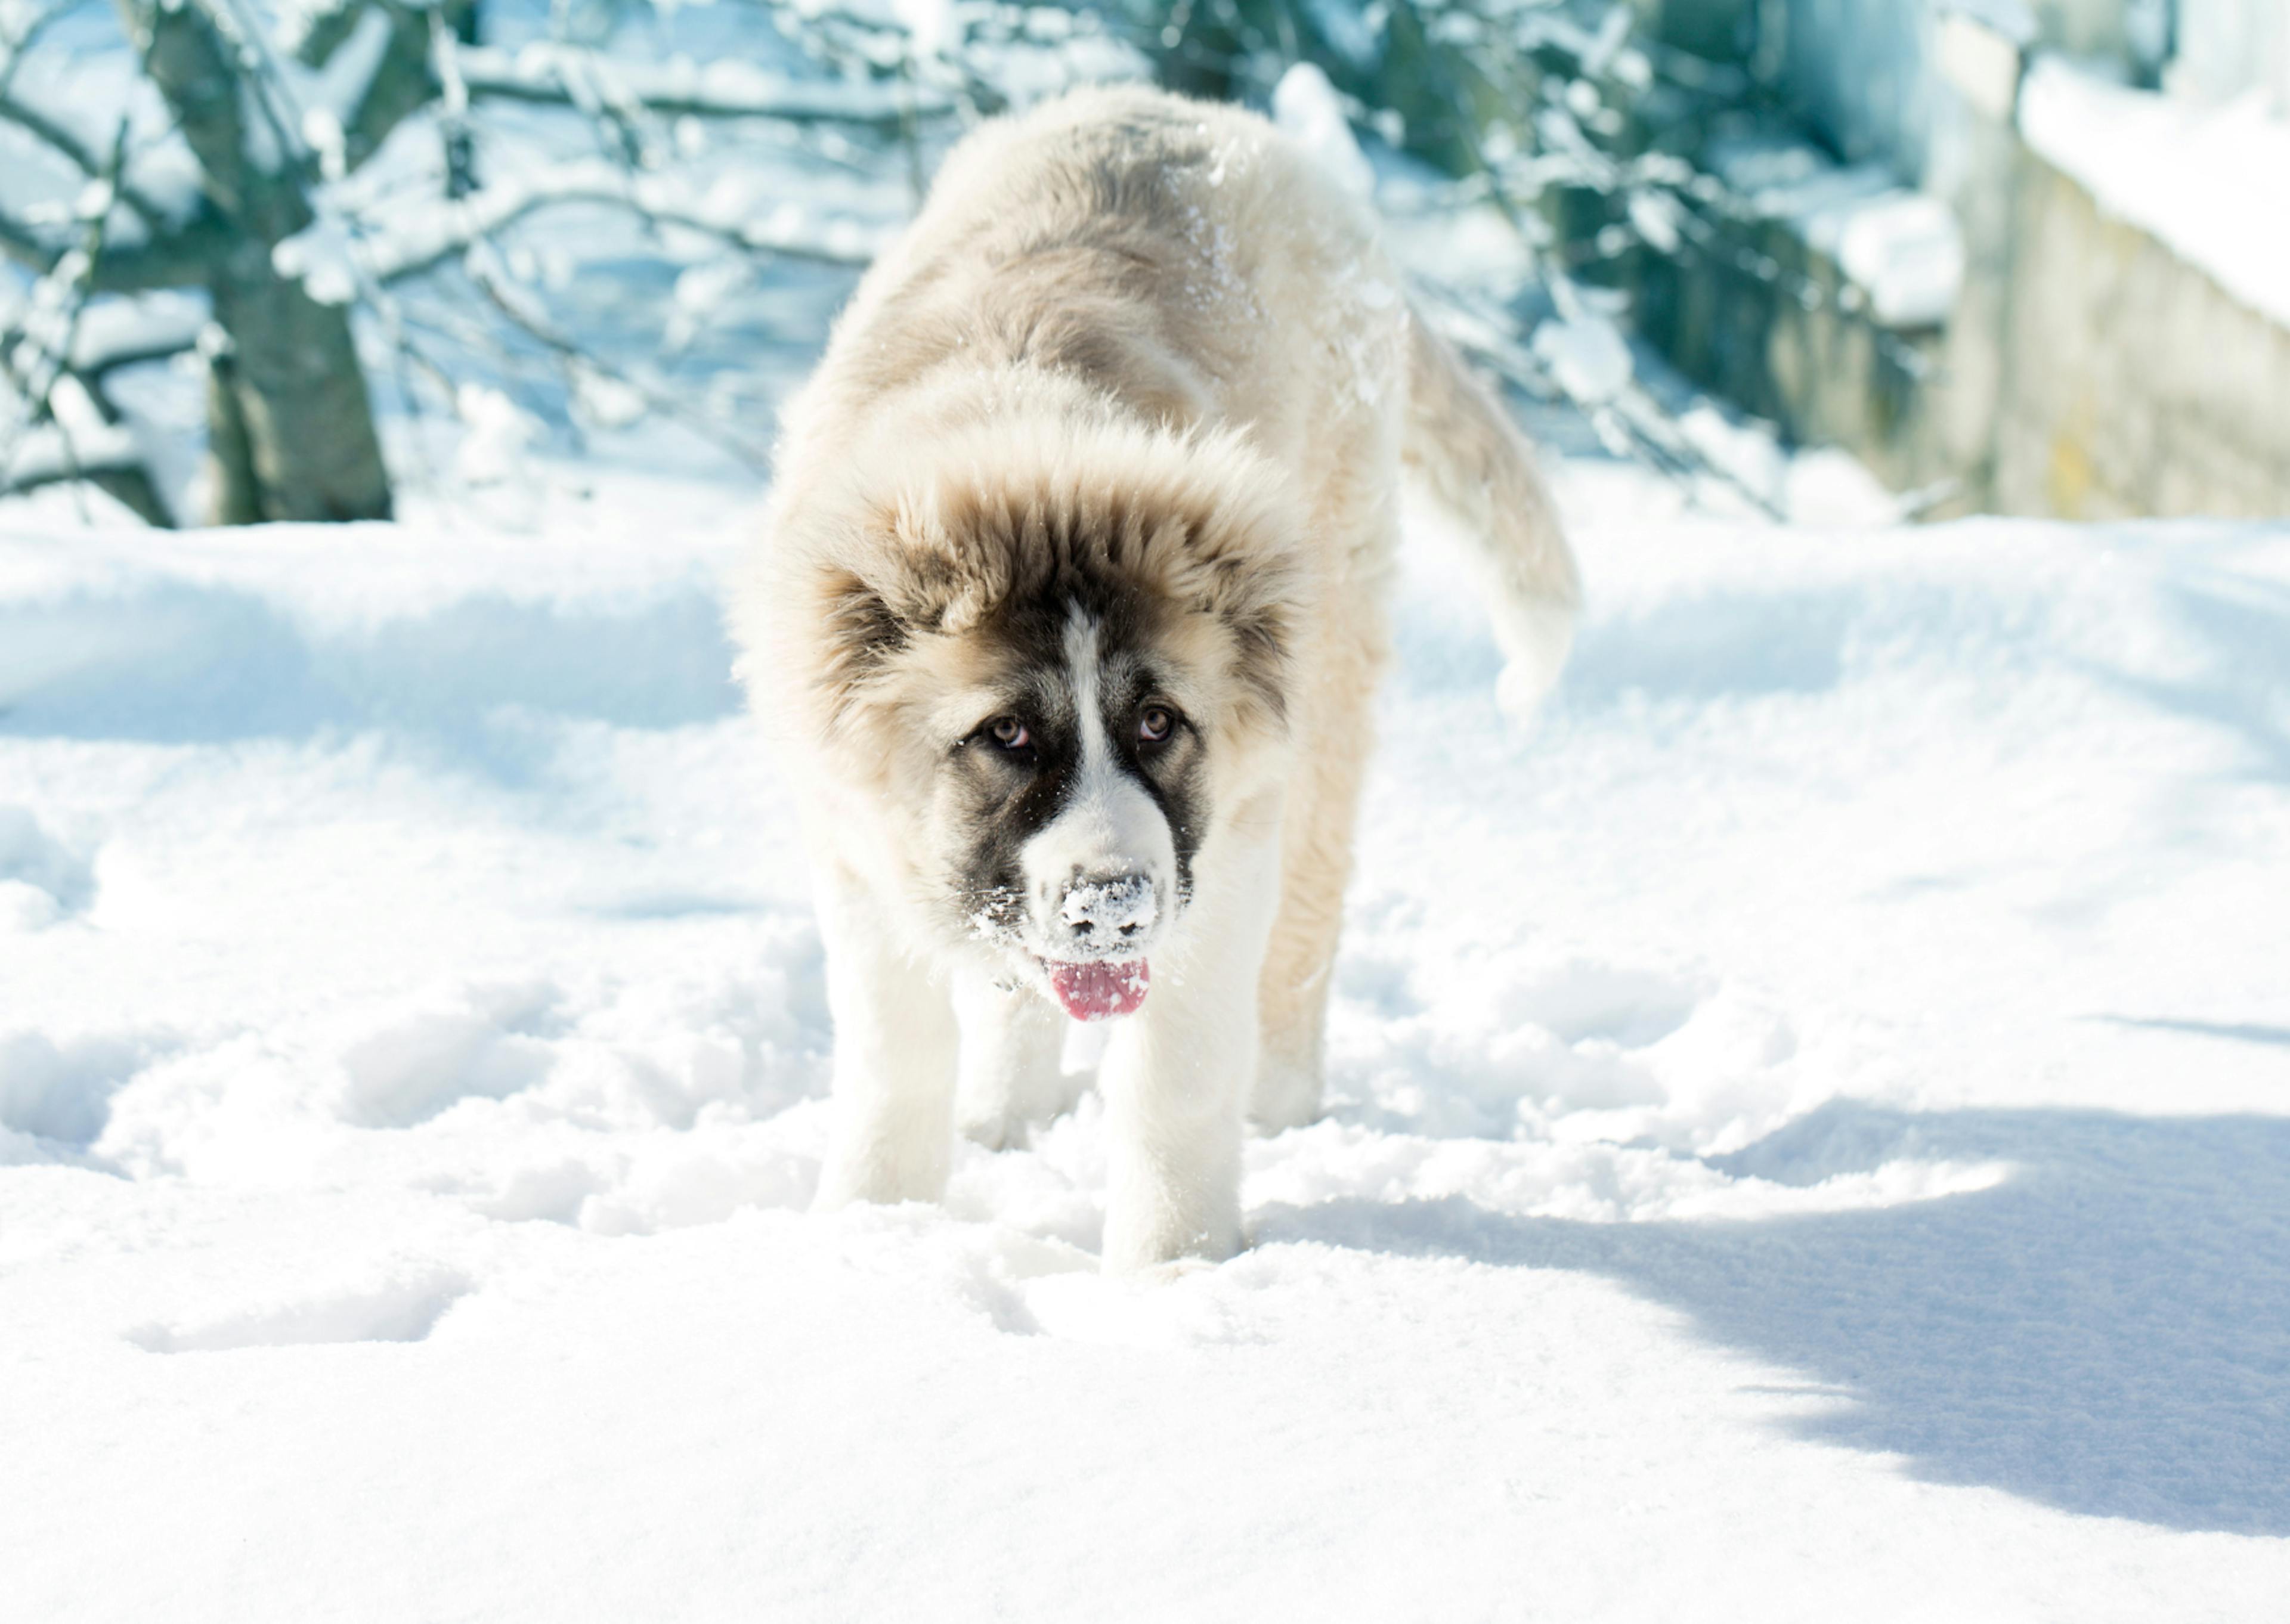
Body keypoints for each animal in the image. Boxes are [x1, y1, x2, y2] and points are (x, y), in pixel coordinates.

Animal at [732, 82, 1575, 1273]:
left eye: (1160, 722)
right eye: (1007, 736)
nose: (1116, 906)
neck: (1031, 448)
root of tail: (1203, 115)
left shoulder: (1222, 854)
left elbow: (1176, 1079)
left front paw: (1177, 1273)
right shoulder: (857, 844)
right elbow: (897, 1055)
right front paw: (878, 1226)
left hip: (1324, 686)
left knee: (1308, 916)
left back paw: (1280, 1107)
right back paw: (1002, 1118)